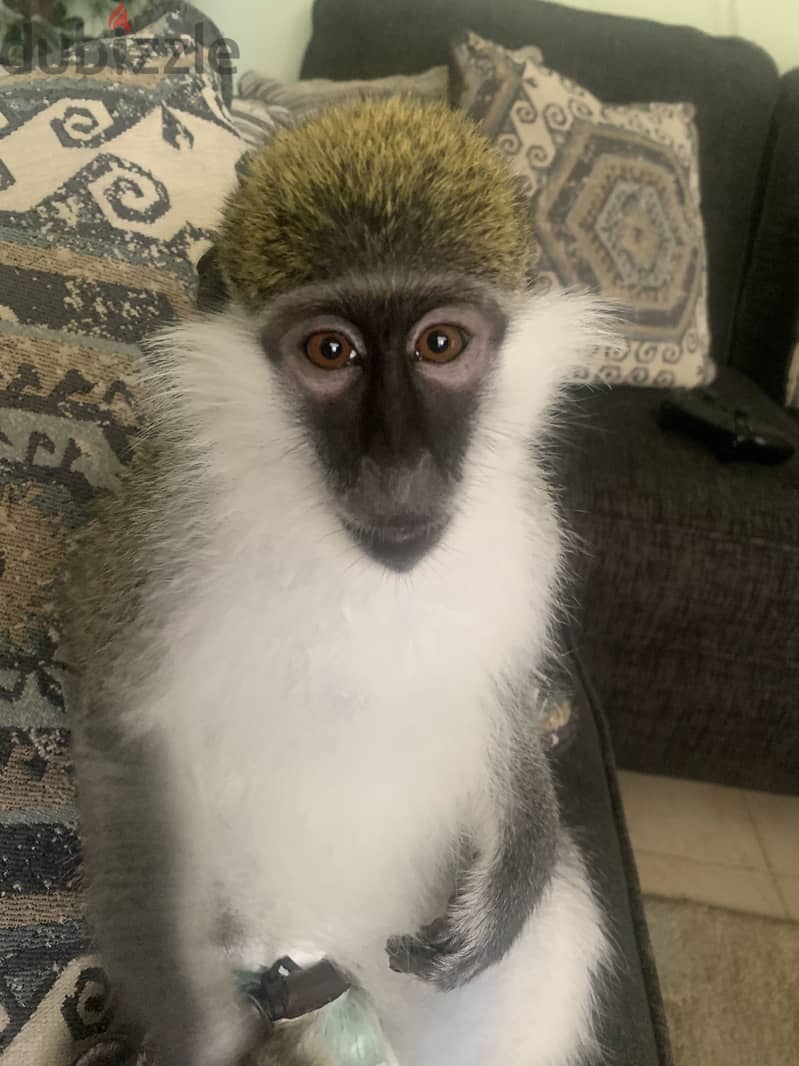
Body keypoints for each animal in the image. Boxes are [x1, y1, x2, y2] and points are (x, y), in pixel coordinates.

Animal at [60, 97, 609, 1066]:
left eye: (439, 343)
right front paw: (193, 1037)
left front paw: (511, 884)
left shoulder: (528, 534)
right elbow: (122, 738)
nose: (397, 467)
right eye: (329, 350)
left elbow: (503, 694)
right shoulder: (158, 547)